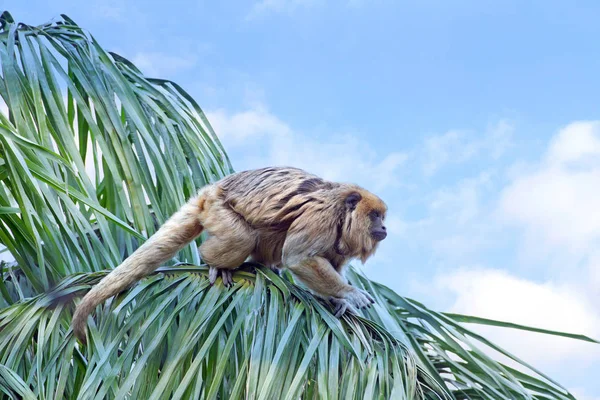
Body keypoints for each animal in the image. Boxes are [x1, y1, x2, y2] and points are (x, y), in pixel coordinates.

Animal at [72, 167, 386, 342]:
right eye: (375, 216)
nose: (384, 227)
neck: (342, 211)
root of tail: (210, 190)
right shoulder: (321, 215)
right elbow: (300, 257)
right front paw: (349, 293)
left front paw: (338, 300)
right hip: (217, 208)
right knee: (241, 237)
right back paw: (214, 261)